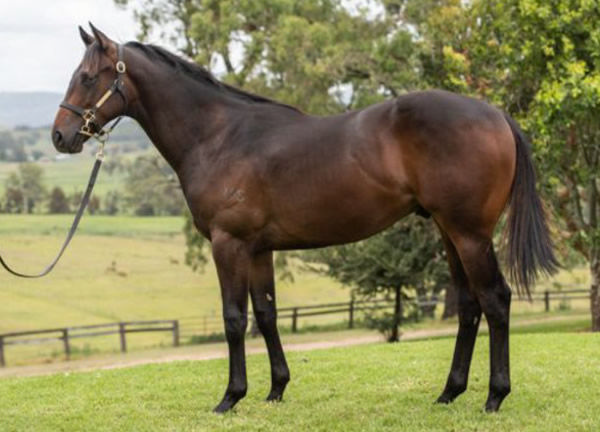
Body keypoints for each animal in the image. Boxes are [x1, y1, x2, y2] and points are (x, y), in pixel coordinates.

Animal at [51, 25, 556, 414]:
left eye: (88, 77)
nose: (60, 136)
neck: (219, 136)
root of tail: (494, 113)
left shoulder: (228, 243)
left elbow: (234, 318)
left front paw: (230, 397)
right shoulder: (258, 249)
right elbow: (267, 314)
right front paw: (275, 390)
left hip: (470, 234)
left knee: (496, 300)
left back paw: (494, 397)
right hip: (449, 232)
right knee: (469, 306)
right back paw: (449, 393)